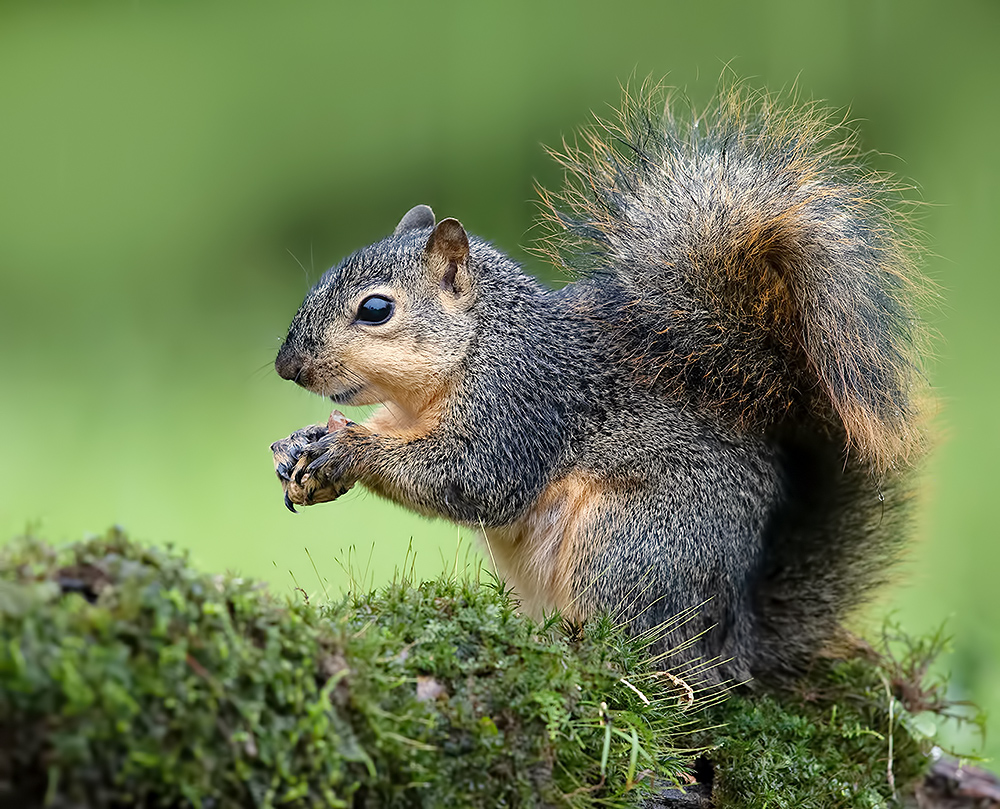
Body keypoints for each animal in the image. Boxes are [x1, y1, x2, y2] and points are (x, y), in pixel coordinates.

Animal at [270, 87, 924, 680]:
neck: (475, 348)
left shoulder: (524, 402)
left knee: (650, 656)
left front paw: (351, 449)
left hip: (627, 547)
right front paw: (302, 445)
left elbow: (473, 479)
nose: (286, 367)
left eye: (376, 310)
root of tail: (734, 635)